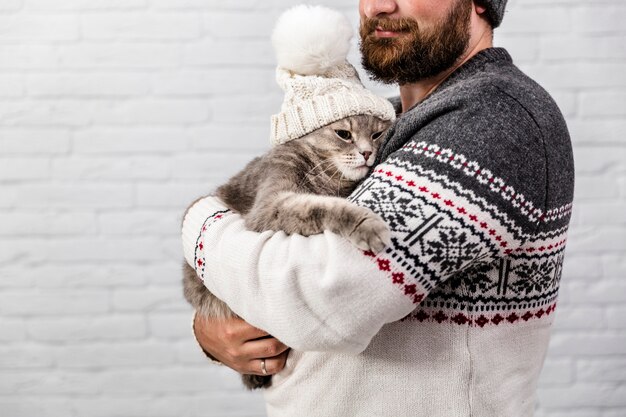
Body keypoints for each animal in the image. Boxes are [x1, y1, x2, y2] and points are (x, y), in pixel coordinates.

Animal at [180, 113, 390, 386]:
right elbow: (323, 207)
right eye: (344, 134)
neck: (328, 177)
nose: (367, 152)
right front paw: (367, 224)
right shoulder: (270, 206)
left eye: (376, 134)